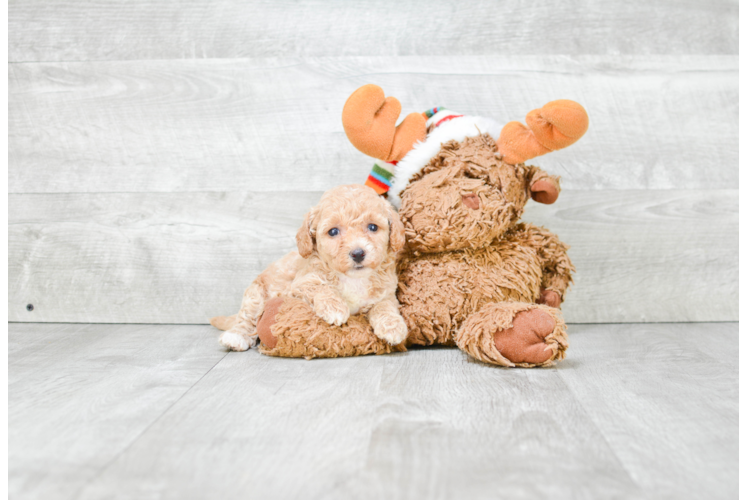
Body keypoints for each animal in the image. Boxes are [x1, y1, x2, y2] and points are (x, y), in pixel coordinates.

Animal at [210, 185, 410, 352]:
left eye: (373, 227)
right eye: (333, 231)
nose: (358, 253)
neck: (353, 278)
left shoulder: (387, 293)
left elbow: (385, 306)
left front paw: (393, 327)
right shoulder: (298, 285)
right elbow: (320, 286)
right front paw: (335, 308)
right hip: (256, 294)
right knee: (246, 318)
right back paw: (235, 337)